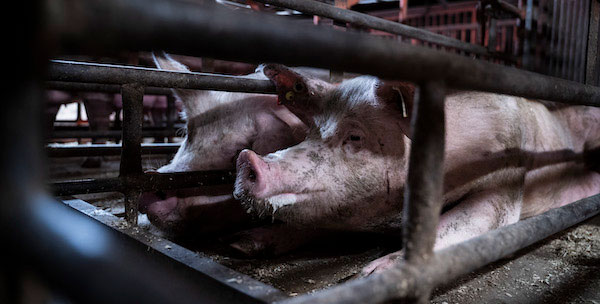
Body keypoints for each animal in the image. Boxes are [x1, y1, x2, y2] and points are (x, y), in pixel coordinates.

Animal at [233, 65, 600, 274]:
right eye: (311, 131)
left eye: (355, 136)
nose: (247, 159)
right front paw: (242, 244)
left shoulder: (507, 176)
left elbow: (465, 223)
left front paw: (374, 274)